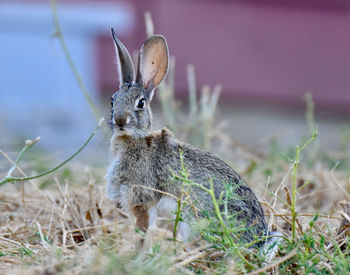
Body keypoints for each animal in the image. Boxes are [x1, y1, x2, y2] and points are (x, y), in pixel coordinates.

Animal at [105, 28, 270, 246]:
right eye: (112, 100)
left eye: (140, 103)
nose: (119, 120)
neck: (134, 139)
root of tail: (260, 241)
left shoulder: (142, 197)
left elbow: (143, 228)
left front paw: (138, 250)